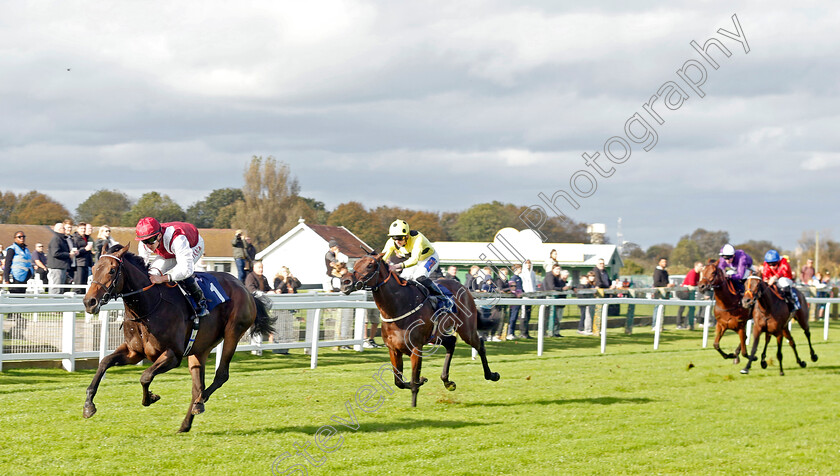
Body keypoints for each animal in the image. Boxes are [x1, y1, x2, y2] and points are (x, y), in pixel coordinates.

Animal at [81, 244, 272, 434]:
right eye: (94, 268)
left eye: (112, 270)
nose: (89, 302)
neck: (148, 307)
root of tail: (246, 289)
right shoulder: (133, 352)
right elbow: (104, 362)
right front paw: (89, 405)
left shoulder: (173, 355)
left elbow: (145, 376)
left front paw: (150, 398)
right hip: (199, 350)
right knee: (198, 387)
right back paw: (186, 422)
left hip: (233, 333)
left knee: (220, 375)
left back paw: (199, 403)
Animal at [342, 255, 498, 408]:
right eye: (355, 264)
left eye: (370, 265)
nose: (345, 282)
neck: (398, 306)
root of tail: (464, 288)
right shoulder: (393, 349)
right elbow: (398, 381)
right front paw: (422, 380)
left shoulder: (416, 348)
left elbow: (413, 380)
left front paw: (413, 405)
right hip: (435, 336)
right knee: (451, 342)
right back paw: (447, 382)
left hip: (466, 329)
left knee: (480, 345)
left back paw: (491, 375)